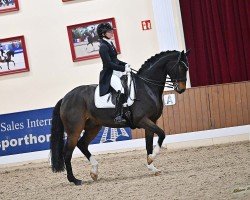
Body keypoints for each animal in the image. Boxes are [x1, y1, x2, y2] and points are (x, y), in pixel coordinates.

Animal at [50, 49, 189, 184]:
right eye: (182, 67)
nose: (181, 89)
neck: (147, 87)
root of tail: (65, 98)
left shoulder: (151, 121)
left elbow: (149, 144)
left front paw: (152, 166)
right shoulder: (142, 120)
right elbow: (162, 134)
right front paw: (151, 158)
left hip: (93, 126)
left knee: (82, 144)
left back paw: (94, 172)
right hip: (74, 129)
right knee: (67, 153)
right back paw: (74, 180)